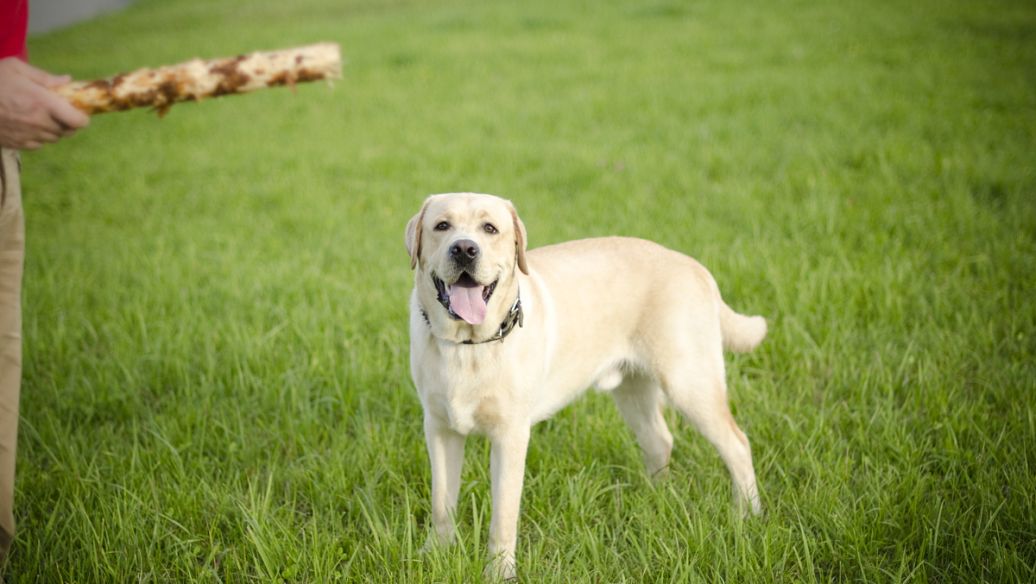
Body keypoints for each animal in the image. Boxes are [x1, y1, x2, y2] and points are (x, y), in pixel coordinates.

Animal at [408, 192, 766, 579]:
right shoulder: (440, 429)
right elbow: (441, 502)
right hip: (633, 390)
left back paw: (748, 514)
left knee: (738, 444)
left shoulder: (510, 436)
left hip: (690, 381)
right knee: (660, 440)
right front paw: (434, 556)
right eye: (442, 226)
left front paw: (500, 573)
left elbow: (503, 516)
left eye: (490, 228)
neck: (467, 346)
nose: (464, 249)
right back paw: (655, 498)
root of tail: (695, 266)